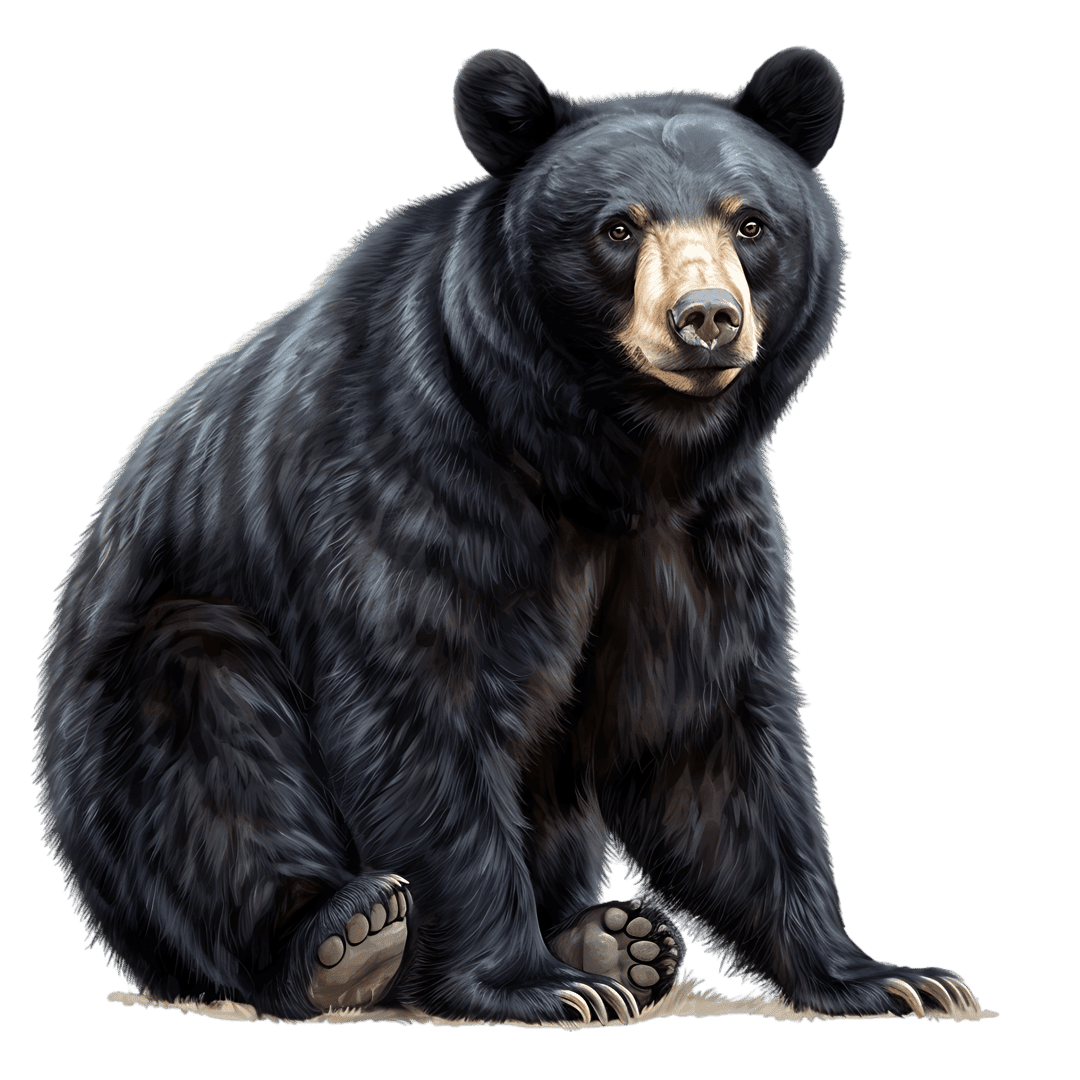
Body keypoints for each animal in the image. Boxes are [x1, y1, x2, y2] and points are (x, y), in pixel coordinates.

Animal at [33, 47, 977, 1024]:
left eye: (750, 221)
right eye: (618, 228)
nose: (707, 317)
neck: (598, 453)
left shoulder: (693, 527)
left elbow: (709, 729)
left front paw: (886, 974)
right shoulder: (418, 465)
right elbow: (424, 695)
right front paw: (535, 983)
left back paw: (616, 937)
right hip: (137, 715)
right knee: (211, 730)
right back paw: (350, 939)